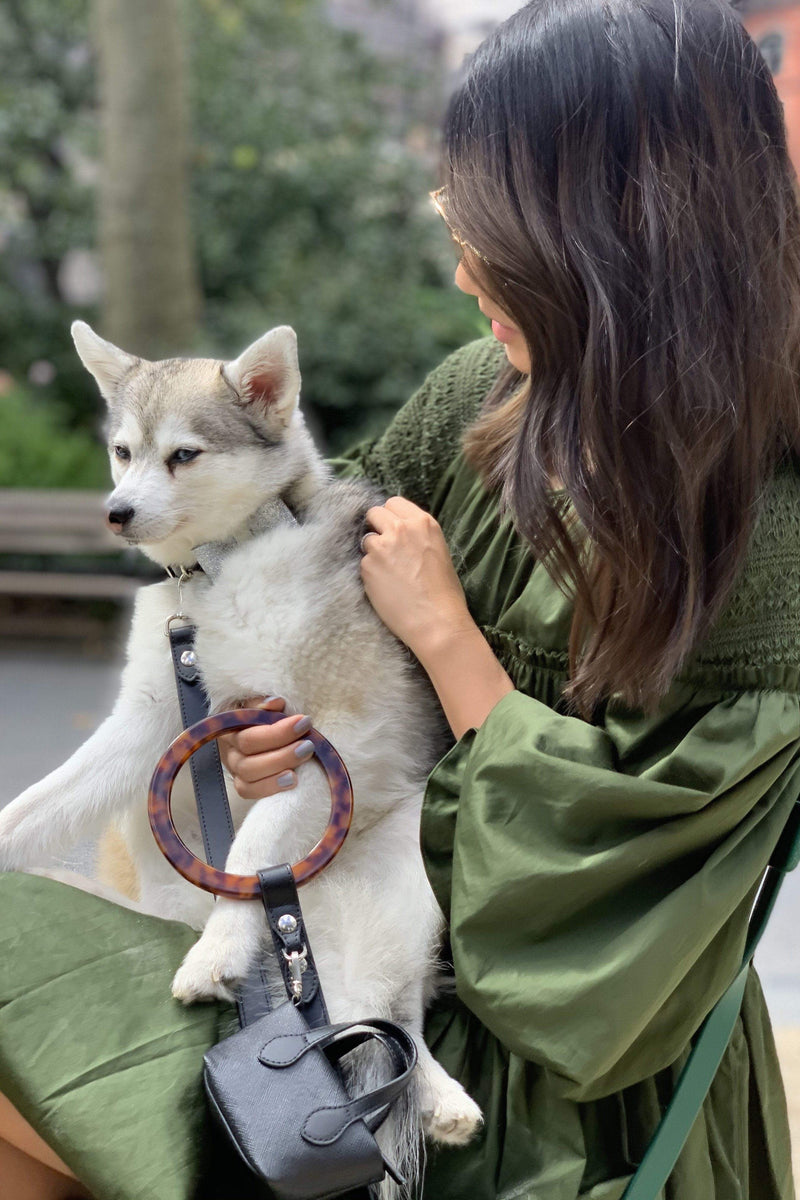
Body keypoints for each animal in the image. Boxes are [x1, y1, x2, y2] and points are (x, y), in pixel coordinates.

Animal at [0, 321, 482, 1190]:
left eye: (184, 455)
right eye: (122, 451)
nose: (115, 513)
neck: (218, 569)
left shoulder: (325, 737)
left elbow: (253, 843)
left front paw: (218, 951)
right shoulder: (146, 724)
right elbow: (31, 809)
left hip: (407, 870)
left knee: (388, 1012)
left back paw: (437, 1093)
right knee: (372, 1014)